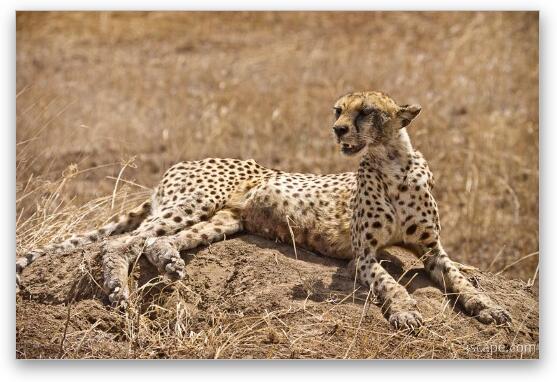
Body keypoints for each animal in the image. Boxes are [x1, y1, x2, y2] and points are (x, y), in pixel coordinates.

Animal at [15, 91, 510, 330]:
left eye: (366, 111)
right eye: (338, 108)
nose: (337, 128)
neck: (392, 162)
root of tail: (182, 162)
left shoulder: (432, 250)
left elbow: (459, 278)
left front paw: (487, 306)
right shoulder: (364, 255)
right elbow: (390, 282)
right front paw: (406, 311)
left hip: (222, 220)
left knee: (159, 241)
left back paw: (170, 262)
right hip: (196, 200)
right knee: (123, 241)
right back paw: (119, 291)